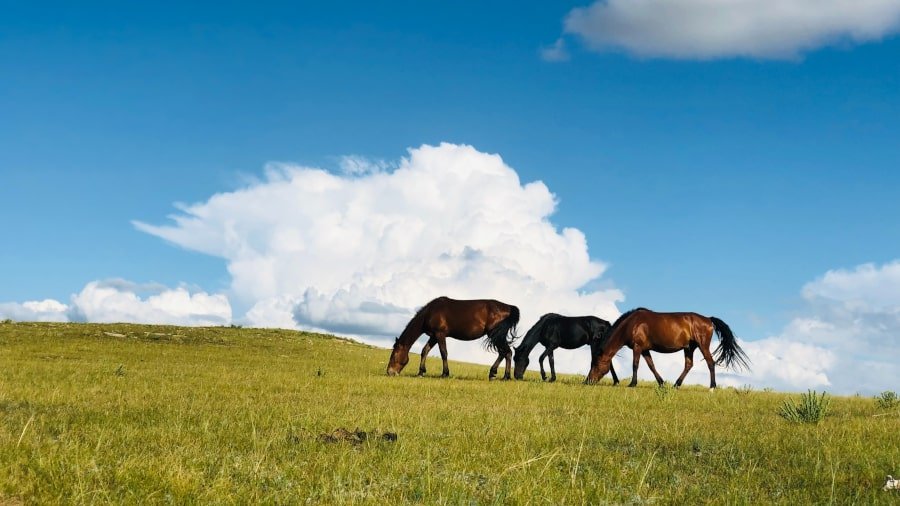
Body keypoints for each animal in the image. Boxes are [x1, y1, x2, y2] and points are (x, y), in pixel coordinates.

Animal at [384, 296, 520, 380]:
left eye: (394, 356)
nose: (389, 372)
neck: (430, 312)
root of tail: (509, 307)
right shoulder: (434, 336)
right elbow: (425, 351)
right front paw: (421, 372)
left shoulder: (440, 334)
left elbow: (443, 353)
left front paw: (445, 373)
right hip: (496, 336)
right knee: (505, 353)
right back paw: (499, 375)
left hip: (495, 335)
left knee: (506, 352)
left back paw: (501, 375)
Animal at [584, 308, 744, 388]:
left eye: (595, 364)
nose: (587, 381)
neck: (632, 324)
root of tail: (708, 319)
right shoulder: (645, 349)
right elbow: (651, 366)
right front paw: (661, 383)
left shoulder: (637, 347)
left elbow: (635, 365)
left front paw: (632, 383)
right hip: (689, 348)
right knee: (689, 365)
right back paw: (676, 384)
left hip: (702, 345)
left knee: (710, 363)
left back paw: (712, 387)